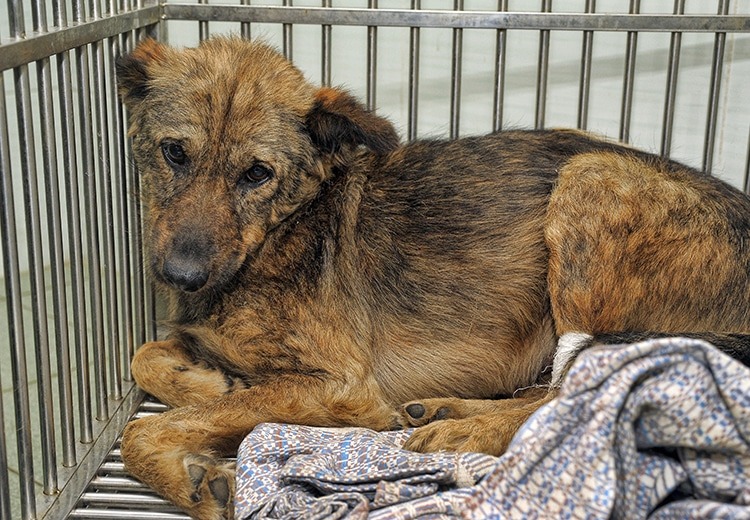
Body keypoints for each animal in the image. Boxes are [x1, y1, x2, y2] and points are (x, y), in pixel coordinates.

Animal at [116, 36, 750, 519]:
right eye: (174, 153)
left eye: (256, 174)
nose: (180, 275)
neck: (281, 233)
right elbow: (146, 356)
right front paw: (210, 383)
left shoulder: (340, 386)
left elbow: (139, 434)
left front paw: (200, 481)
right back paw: (448, 412)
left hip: (590, 178)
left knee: (587, 392)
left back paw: (463, 433)